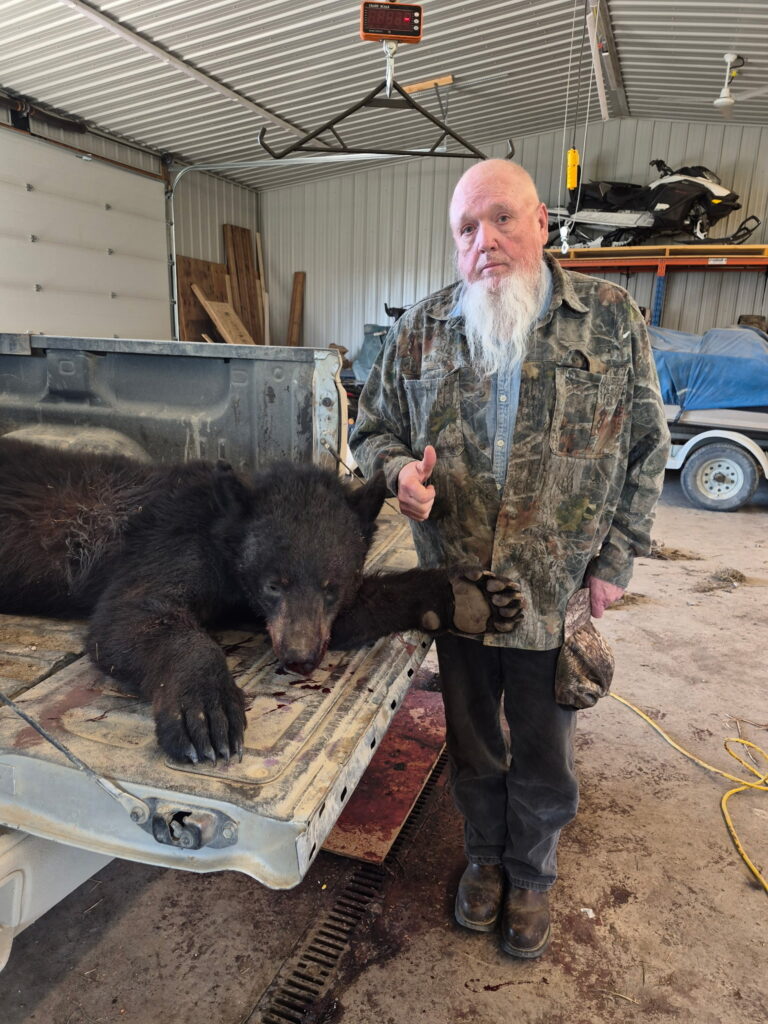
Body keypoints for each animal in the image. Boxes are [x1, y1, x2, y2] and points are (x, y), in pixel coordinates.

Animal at [0, 438, 523, 764]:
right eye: (274, 583)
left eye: (331, 585)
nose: (300, 657)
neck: (225, 541)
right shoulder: (169, 537)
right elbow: (134, 613)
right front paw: (205, 710)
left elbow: (356, 612)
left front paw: (471, 594)